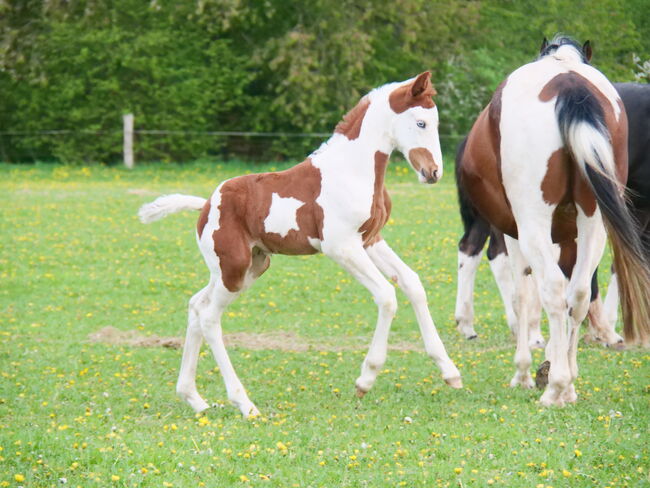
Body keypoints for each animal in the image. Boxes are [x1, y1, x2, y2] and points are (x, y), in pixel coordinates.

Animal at [139, 72, 460, 416]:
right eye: (421, 123)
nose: (434, 173)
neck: (353, 171)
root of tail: (205, 206)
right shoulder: (341, 246)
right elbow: (387, 296)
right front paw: (365, 379)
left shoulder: (370, 240)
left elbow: (412, 283)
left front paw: (450, 372)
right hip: (233, 269)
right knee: (210, 317)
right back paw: (244, 403)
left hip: (247, 267)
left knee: (196, 305)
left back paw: (193, 397)